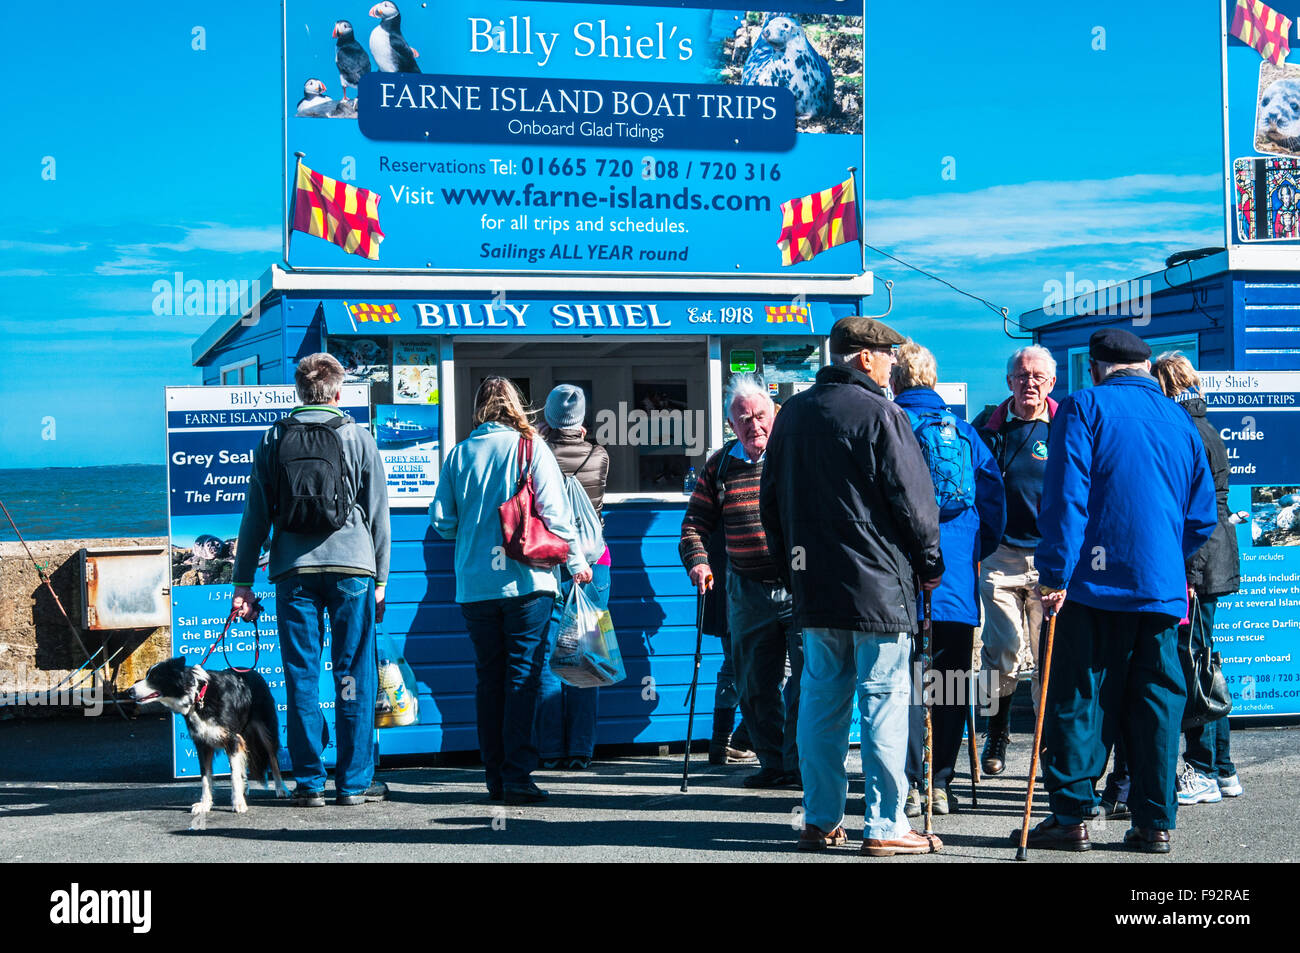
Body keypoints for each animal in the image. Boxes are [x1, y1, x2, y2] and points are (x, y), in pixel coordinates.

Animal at [129, 657, 287, 816]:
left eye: (155, 677)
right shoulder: (202, 743)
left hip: (265, 728)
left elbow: (234, 775)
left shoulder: (232, 739)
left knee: (273, 758)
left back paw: (281, 789)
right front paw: (205, 804)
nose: (129, 691)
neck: (198, 697)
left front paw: (238, 803)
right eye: (147, 675)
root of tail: (250, 670)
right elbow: (206, 777)